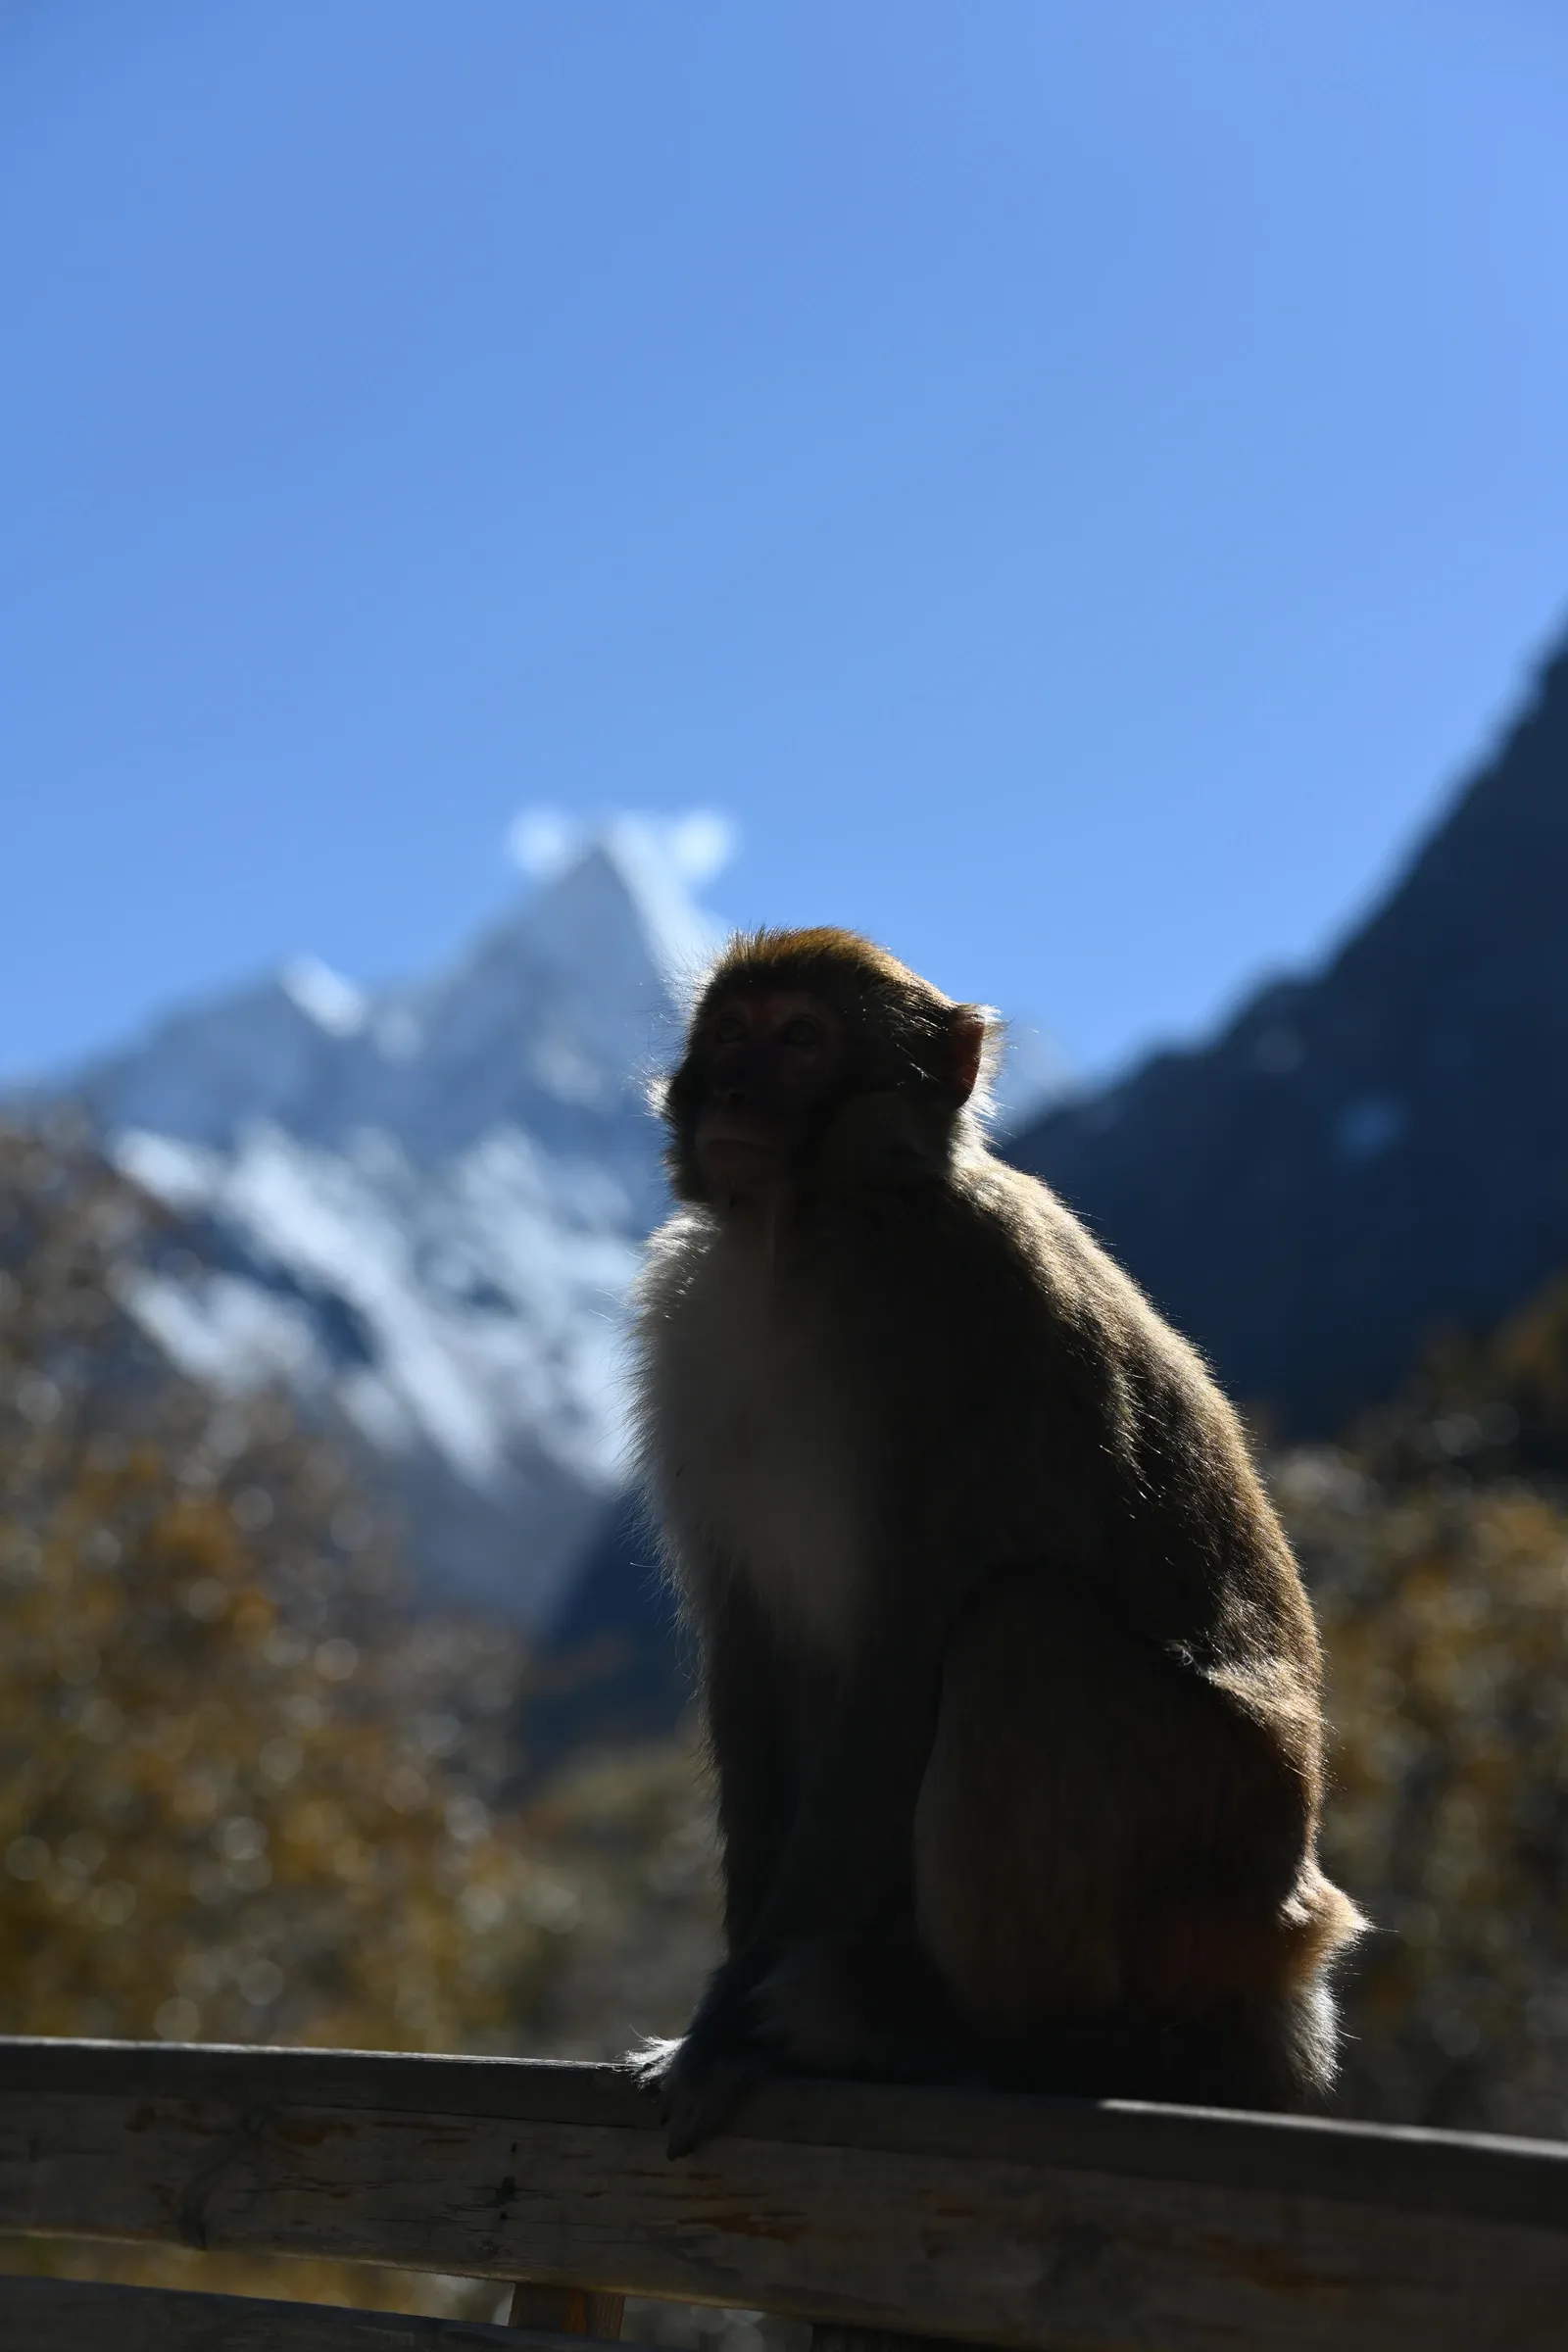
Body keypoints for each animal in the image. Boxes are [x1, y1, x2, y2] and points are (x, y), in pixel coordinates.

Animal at [629, 927, 1364, 2156]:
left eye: (799, 1039)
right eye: (730, 1035)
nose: (731, 1091)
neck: (811, 1228)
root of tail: (1289, 1957)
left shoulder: (954, 1320)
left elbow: (905, 1648)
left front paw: (728, 2025)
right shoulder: (692, 1337)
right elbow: (751, 1645)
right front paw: (727, 1990)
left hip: (1204, 1876)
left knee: (1023, 1637)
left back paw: (981, 2040)